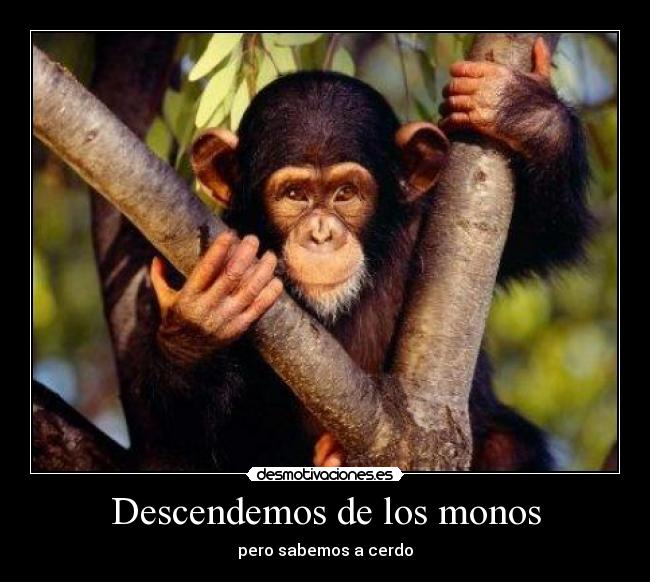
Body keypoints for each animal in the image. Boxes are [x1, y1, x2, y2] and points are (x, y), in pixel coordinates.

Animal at [138, 38, 592, 471]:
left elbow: (543, 232)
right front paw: (204, 319)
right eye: (294, 195)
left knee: (507, 446)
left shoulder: (433, 220)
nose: (321, 234)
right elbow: (177, 434)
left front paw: (522, 111)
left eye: (346, 193)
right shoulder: (194, 247)